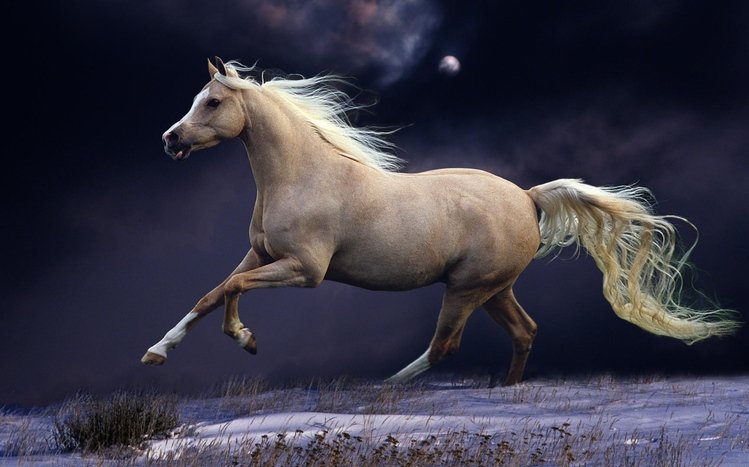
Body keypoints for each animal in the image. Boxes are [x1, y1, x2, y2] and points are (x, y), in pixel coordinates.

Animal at [141, 57, 740, 386]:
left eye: (212, 102)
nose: (170, 139)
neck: (302, 176)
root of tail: (528, 197)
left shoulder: (304, 270)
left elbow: (232, 290)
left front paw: (245, 340)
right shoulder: (262, 255)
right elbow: (212, 292)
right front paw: (157, 352)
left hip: (467, 288)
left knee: (444, 347)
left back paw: (381, 388)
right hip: (494, 288)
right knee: (524, 331)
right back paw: (505, 391)